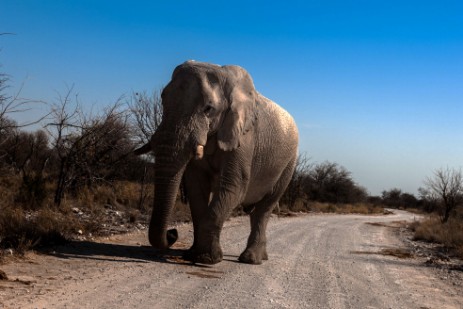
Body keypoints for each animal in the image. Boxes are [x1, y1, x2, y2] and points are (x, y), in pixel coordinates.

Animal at [136, 60, 300, 264]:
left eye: (208, 109)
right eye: (163, 99)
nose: (172, 233)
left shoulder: (244, 137)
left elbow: (233, 186)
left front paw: (206, 259)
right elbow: (196, 188)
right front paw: (193, 255)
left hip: (289, 163)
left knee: (264, 208)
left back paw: (251, 259)